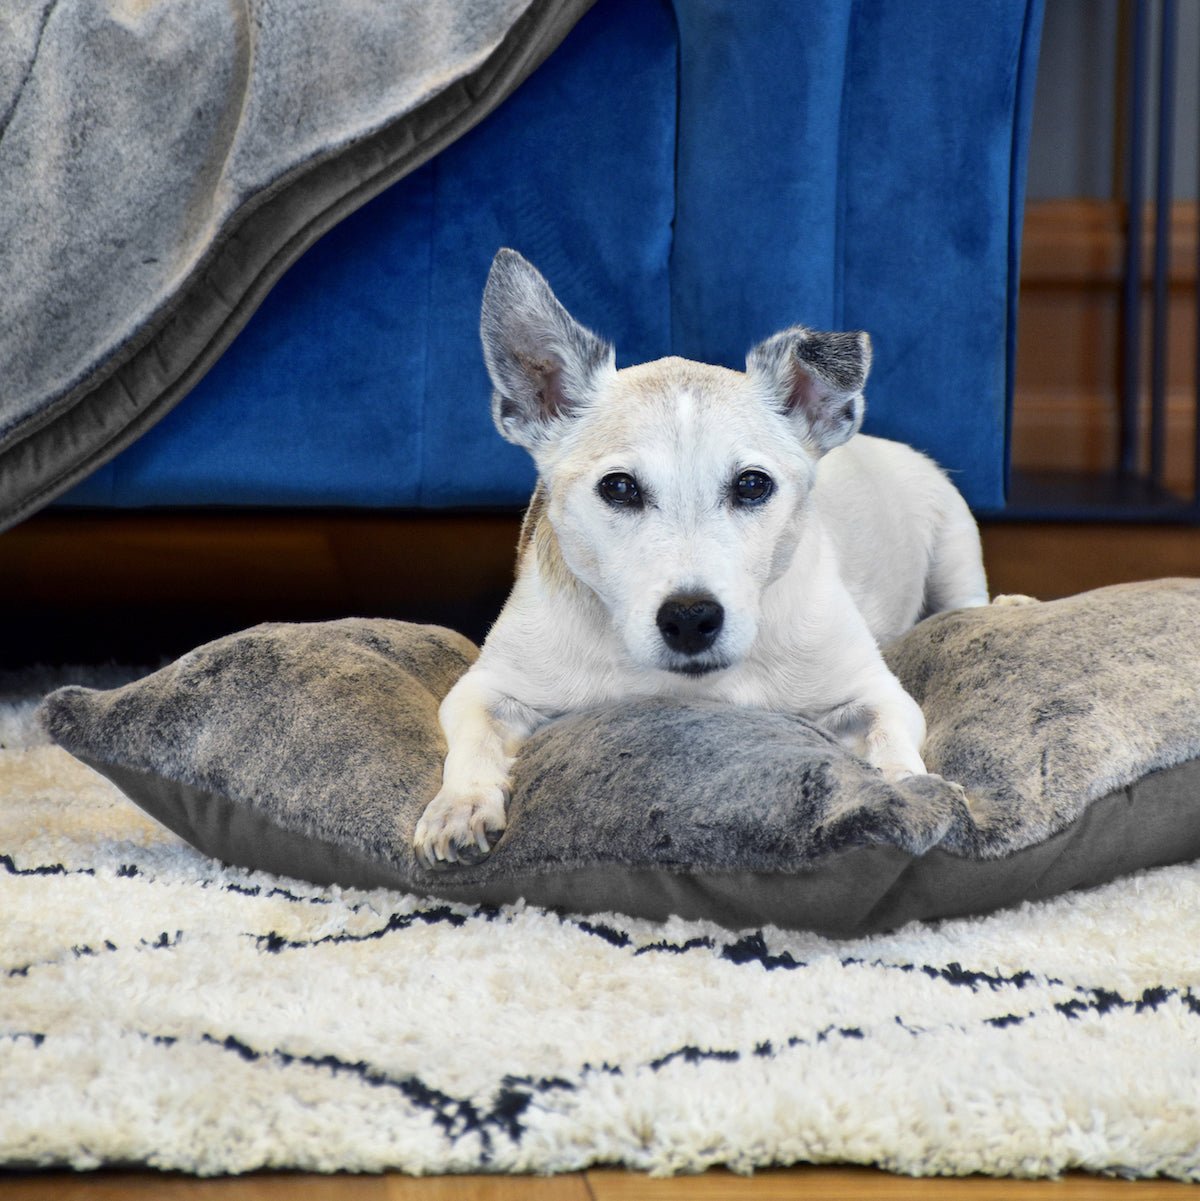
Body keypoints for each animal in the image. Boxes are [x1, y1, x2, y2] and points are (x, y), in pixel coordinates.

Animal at [415, 248, 994, 869]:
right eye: (619, 488)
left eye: (753, 485)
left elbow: (891, 738)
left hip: (955, 547)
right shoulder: (484, 687)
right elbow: (473, 736)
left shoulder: (876, 691)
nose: (691, 618)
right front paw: (462, 804)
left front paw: (912, 789)